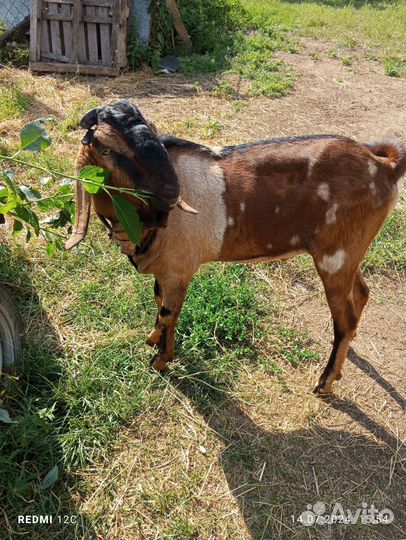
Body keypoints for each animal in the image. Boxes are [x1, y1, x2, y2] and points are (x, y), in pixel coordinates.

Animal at [66, 101, 402, 394]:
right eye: (107, 148)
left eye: (153, 131)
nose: (170, 192)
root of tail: (383, 165)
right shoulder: (165, 270)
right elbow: (158, 301)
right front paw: (152, 339)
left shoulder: (178, 270)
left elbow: (168, 313)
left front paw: (160, 361)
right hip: (349, 251)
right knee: (361, 294)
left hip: (336, 256)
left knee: (344, 320)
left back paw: (325, 382)